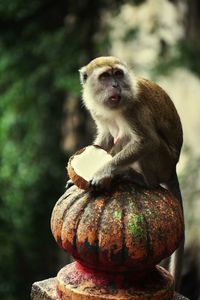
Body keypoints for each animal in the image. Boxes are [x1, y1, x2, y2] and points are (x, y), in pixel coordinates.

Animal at [66, 56, 184, 290]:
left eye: (118, 74)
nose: (115, 85)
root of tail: (173, 167)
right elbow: (105, 137)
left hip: (163, 161)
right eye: (105, 76)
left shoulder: (134, 108)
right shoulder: (97, 111)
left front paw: (103, 171)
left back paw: (140, 179)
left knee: (134, 139)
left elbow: (146, 141)